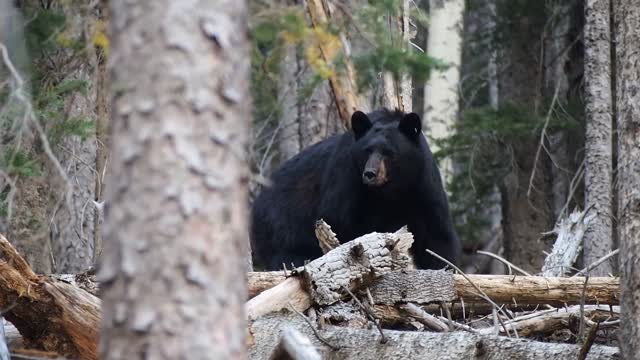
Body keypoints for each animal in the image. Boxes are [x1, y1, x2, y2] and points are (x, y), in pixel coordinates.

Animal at [250, 109, 460, 270]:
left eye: (389, 152)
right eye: (367, 150)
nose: (370, 174)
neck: (392, 190)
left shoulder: (422, 186)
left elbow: (436, 236)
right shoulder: (347, 177)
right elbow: (342, 222)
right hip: (282, 225)